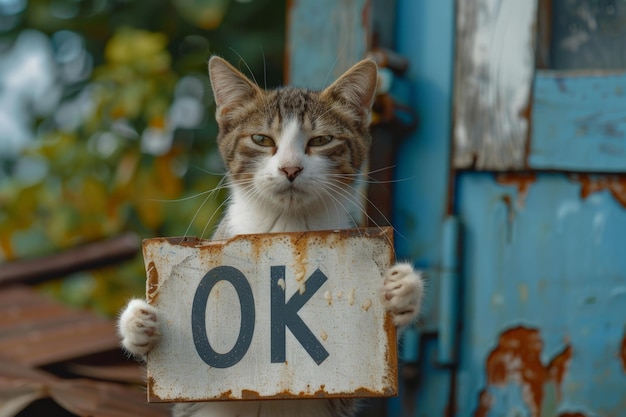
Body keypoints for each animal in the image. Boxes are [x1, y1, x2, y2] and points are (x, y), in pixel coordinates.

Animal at [117, 57, 424, 416]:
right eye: (262, 139)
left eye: (321, 140)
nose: (290, 168)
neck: (286, 228)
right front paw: (137, 325)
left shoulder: (348, 393)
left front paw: (405, 291)